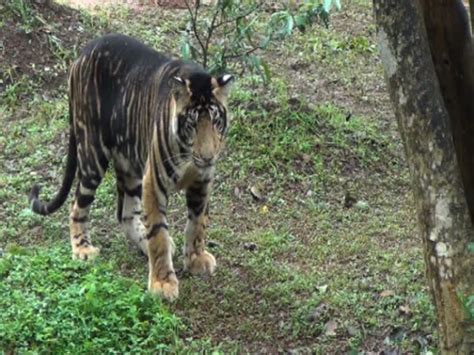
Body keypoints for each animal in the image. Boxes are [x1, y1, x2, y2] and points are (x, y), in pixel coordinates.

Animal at [29, 33, 233, 302]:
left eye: (216, 121)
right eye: (192, 124)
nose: (208, 156)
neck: (189, 156)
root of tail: (85, 50)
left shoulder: (202, 180)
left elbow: (198, 222)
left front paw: (196, 258)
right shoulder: (154, 182)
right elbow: (158, 232)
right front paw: (162, 283)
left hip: (130, 165)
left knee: (125, 215)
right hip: (93, 156)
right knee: (77, 205)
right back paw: (83, 249)